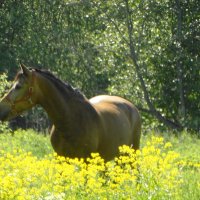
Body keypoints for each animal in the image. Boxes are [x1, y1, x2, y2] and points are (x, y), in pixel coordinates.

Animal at [0, 64, 141, 161]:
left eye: (18, 86)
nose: (1, 109)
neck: (69, 120)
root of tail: (131, 106)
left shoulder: (86, 161)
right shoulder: (61, 159)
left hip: (130, 154)